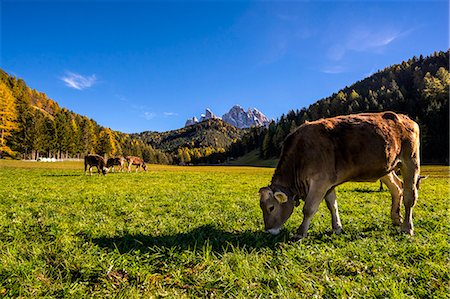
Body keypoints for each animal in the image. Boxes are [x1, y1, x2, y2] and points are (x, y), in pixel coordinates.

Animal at [260, 112, 422, 241]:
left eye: (271, 207)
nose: (268, 230)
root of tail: (404, 118)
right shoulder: (328, 183)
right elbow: (332, 205)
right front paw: (337, 227)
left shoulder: (320, 182)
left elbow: (309, 209)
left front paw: (300, 233)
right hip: (387, 168)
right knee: (397, 188)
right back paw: (396, 218)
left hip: (411, 161)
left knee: (410, 196)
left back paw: (407, 227)